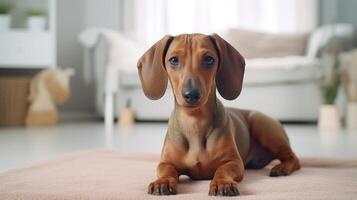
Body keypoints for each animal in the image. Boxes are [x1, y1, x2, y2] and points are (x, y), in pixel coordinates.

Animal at [138, 33, 298, 196]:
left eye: (209, 59)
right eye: (174, 60)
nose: (192, 94)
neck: (195, 122)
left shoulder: (234, 162)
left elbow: (222, 170)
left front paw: (222, 183)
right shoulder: (165, 163)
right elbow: (167, 171)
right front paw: (163, 181)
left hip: (261, 124)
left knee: (293, 157)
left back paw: (282, 167)